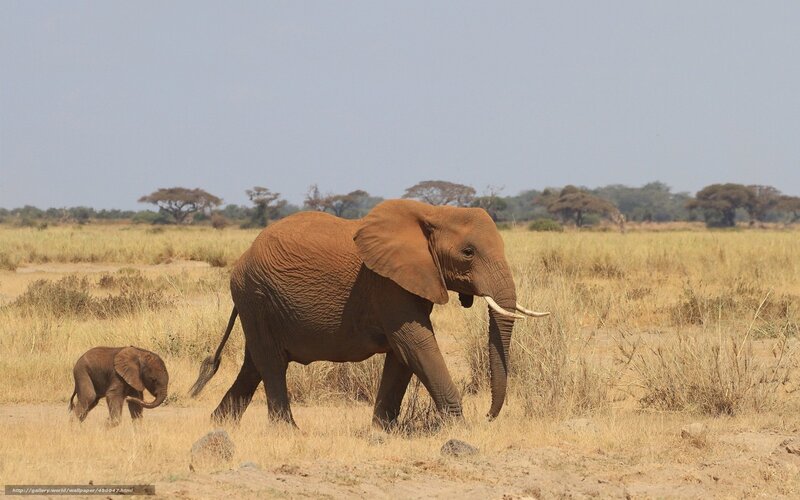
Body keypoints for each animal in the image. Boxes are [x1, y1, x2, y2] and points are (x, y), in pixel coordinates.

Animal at [190, 199, 548, 429]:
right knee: (271, 362)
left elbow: (403, 354)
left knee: (255, 364)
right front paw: (460, 429)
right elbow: (416, 343)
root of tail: (243, 257)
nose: (488, 416)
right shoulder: (387, 283)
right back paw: (287, 432)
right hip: (257, 296)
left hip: (259, 303)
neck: (432, 213)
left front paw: (381, 431)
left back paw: (219, 424)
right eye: (468, 252)